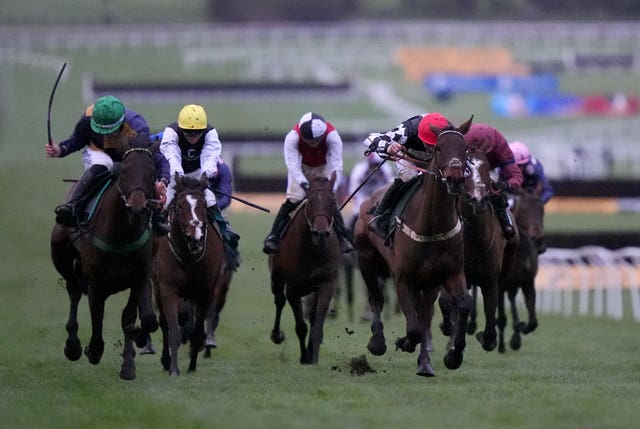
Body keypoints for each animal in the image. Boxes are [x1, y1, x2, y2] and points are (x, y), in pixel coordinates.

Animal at [50, 136, 160, 378]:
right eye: (125, 171)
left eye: (152, 172)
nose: (137, 207)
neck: (121, 234)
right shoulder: (96, 282)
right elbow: (97, 317)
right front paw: (93, 349)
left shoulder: (140, 275)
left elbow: (141, 319)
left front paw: (129, 361)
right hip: (60, 253)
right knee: (73, 290)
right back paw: (73, 345)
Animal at [152, 172, 225, 372]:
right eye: (180, 206)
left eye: (204, 205)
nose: (195, 236)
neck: (188, 256)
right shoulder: (167, 288)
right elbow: (173, 330)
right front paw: (174, 369)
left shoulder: (206, 290)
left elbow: (197, 331)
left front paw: (192, 365)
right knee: (164, 323)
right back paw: (166, 361)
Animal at [268, 172, 342, 362]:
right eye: (310, 201)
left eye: (333, 201)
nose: (321, 233)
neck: (312, 251)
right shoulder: (293, 288)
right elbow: (301, 327)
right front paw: (304, 358)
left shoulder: (326, 284)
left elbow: (316, 327)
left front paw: (312, 358)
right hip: (276, 277)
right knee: (279, 300)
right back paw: (277, 335)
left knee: (312, 315)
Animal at [356, 116, 476, 374]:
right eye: (439, 148)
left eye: (465, 149)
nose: (454, 179)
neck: (431, 225)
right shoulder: (403, 278)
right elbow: (412, 329)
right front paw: (402, 342)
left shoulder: (448, 274)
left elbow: (462, 304)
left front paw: (453, 355)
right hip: (366, 259)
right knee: (376, 298)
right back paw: (377, 342)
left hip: (428, 283)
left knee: (424, 315)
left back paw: (424, 364)